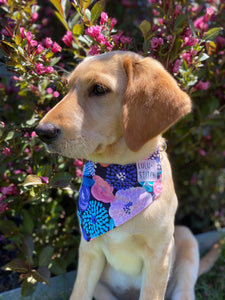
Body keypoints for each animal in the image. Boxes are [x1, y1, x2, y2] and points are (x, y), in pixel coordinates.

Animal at [36, 52, 219, 300]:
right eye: (67, 88)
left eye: (99, 89)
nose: (41, 132)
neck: (120, 176)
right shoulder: (88, 252)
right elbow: (78, 293)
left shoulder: (158, 259)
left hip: (186, 239)